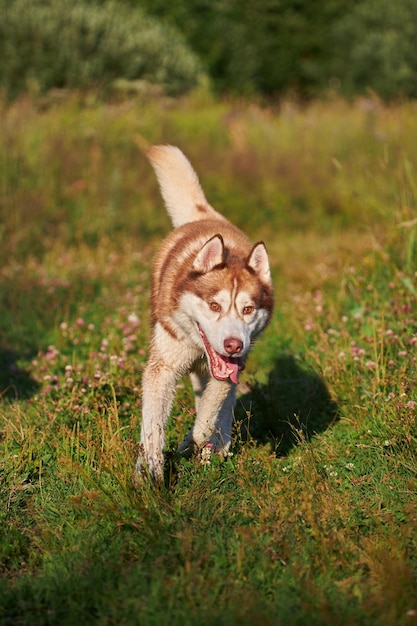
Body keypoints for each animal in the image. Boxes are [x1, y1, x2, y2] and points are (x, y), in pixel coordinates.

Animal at [136, 145, 272, 478]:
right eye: (214, 305)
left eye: (248, 309)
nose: (233, 345)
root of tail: (205, 216)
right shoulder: (162, 368)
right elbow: (153, 428)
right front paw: (151, 470)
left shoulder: (227, 372)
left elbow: (207, 420)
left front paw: (195, 442)